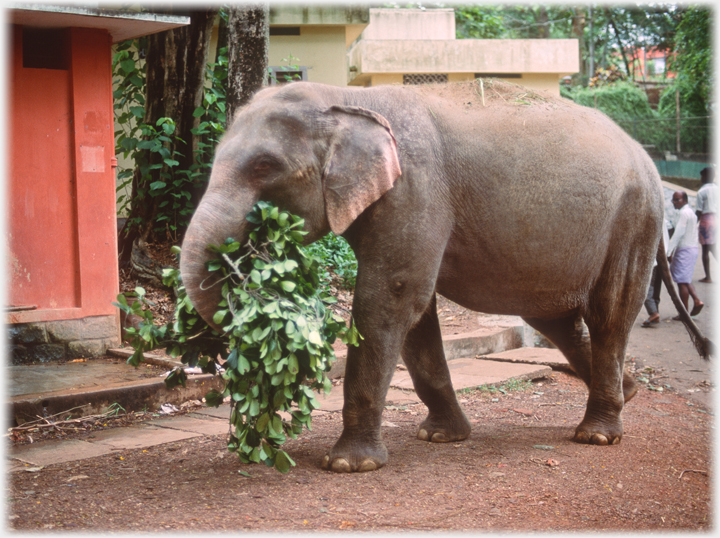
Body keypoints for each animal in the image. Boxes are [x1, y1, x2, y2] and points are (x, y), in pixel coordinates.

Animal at [181, 77, 696, 472]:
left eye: (265, 166)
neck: (346, 96)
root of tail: (646, 156)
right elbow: (414, 312)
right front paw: (441, 437)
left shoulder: (415, 189)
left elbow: (389, 300)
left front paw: (348, 464)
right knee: (557, 321)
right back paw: (629, 393)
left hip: (633, 220)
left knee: (609, 314)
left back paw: (598, 435)